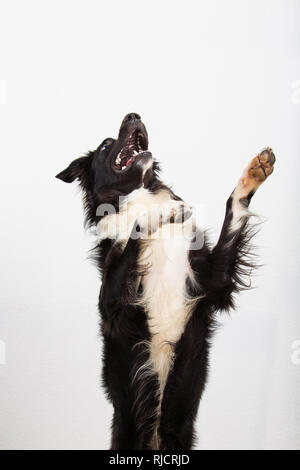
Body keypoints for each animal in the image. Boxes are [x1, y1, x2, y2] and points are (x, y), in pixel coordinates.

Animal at [55, 112, 276, 450]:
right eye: (106, 145)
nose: (133, 114)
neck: (141, 196)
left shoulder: (213, 280)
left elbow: (234, 208)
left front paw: (253, 174)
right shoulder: (112, 305)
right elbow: (133, 230)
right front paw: (162, 212)